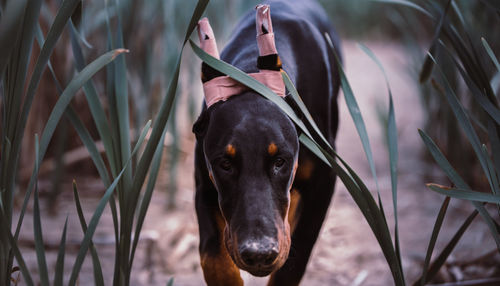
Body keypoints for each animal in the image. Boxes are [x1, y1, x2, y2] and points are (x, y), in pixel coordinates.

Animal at [191, 1, 340, 284]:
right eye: (225, 164)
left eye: (280, 161)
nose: (258, 253)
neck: (249, 74)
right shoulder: (205, 183)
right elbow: (212, 256)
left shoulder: (324, 182)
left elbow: (295, 260)